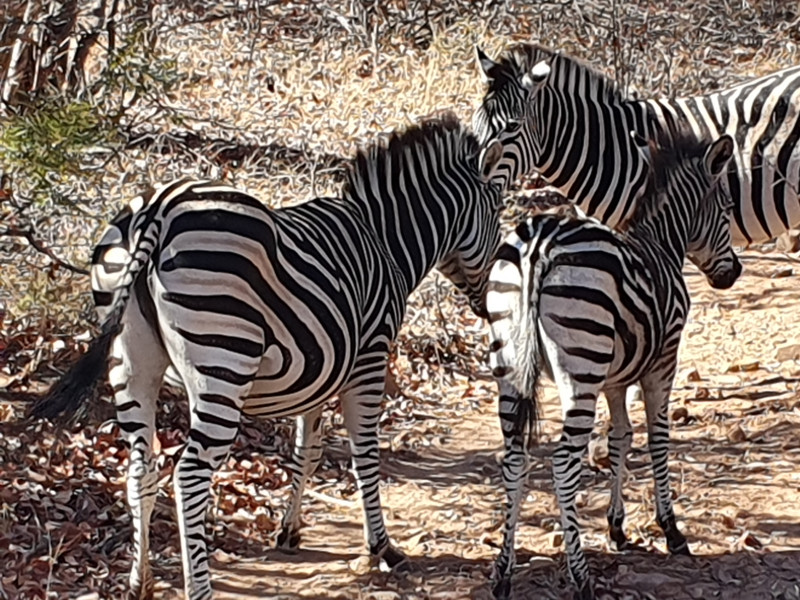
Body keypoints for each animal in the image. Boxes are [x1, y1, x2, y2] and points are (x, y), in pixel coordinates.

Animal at [32, 113, 506, 600]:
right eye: (499, 213)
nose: (489, 304)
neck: (384, 240)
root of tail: (159, 208)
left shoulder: (321, 372)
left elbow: (305, 452)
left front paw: (289, 531)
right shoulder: (369, 358)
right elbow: (365, 455)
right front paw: (382, 547)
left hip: (130, 361)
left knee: (140, 470)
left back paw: (138, 582)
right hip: (223, 362)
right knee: (189, 477)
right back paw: (197, 589)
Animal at [488, 127, 744, 600]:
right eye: (726, 211)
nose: (732, 273)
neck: (663, 244)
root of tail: (538, 244)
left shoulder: (614, 378)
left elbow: (620, 437)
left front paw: (617, 526)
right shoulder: (662, 361)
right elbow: (657, 439)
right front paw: (671, 530)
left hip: (509, 365)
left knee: (514, 460)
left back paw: (502, 574)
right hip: (580, 370)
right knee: (563, 465)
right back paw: (581, 577)